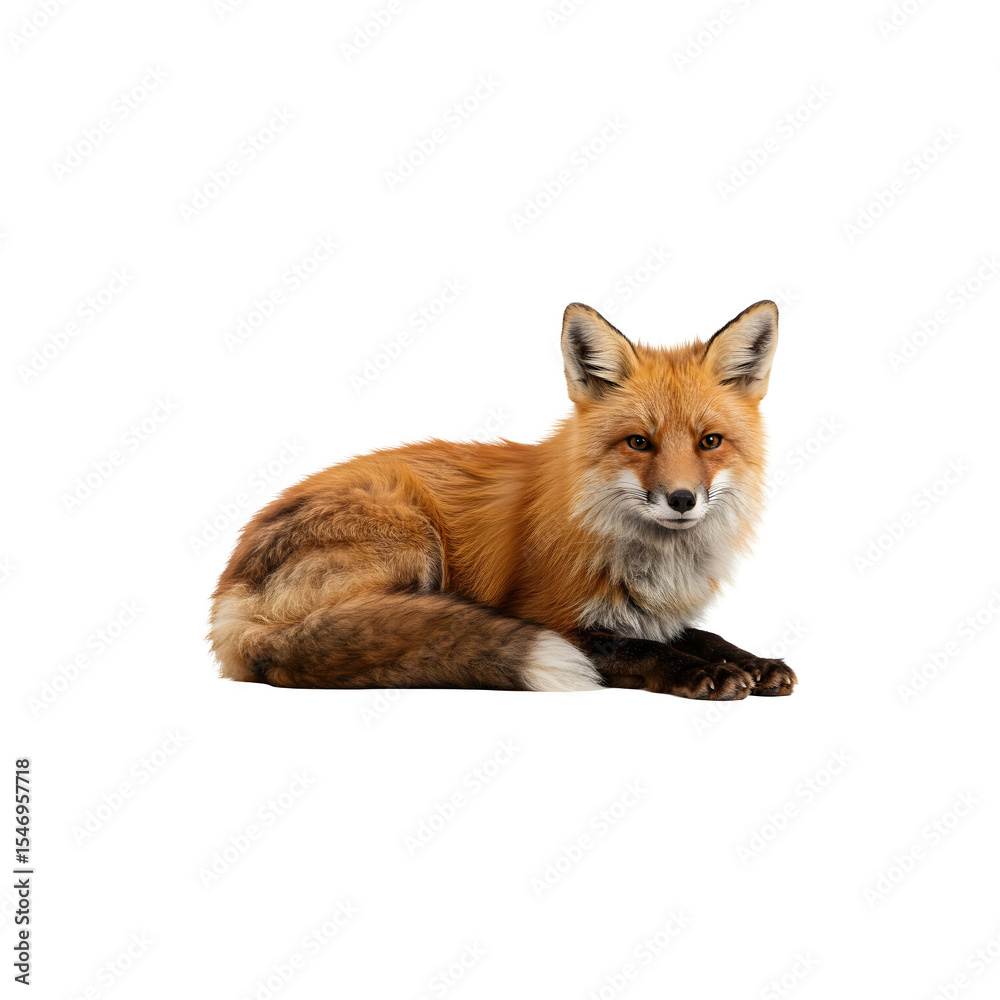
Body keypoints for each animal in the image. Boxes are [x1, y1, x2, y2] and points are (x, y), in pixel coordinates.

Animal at [210, 299, 797, 699]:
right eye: (638, 442)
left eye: (710, 442)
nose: (681, 499)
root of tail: (228, 599)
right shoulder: (556, 618)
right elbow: (641, 648)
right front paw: (704, 673)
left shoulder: (656, 615)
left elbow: (703, 634)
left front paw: (752, 662)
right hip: (413, 538)